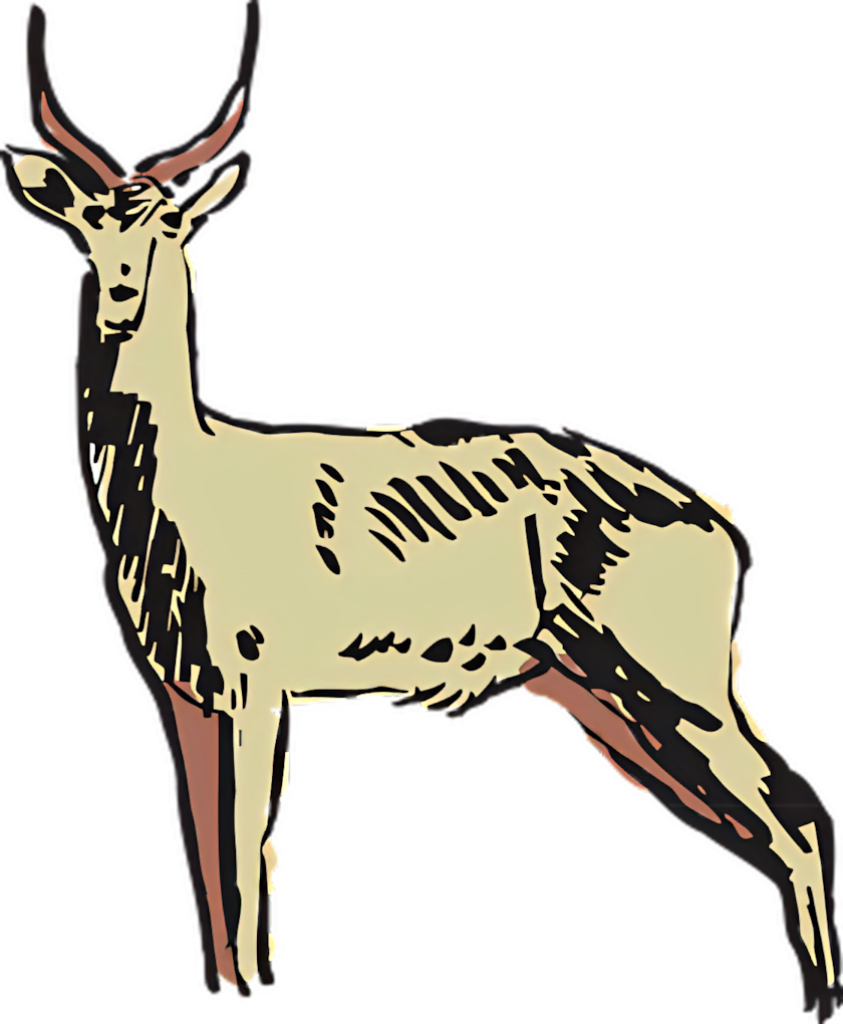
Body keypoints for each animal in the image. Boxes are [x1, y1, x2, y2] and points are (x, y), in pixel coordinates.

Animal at [3, 2, 841, 1017]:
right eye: (87, 222)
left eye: (168, 222)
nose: (121, 296)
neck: (189, 492)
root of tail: (718, 522)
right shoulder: (186, 700)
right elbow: (212, 880)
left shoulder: (256, 693)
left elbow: (246, 879)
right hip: (602, 701)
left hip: (677, 685)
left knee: (798, 819)